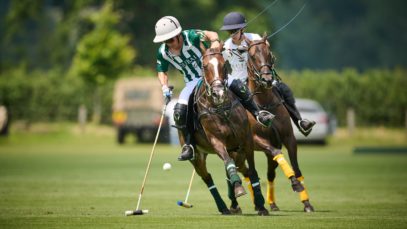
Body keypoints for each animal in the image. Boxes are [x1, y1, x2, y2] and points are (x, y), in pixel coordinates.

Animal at [180, 46, 270, 215]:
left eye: (223, 65)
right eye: (204, 66)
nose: (219, 93)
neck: (221, 108)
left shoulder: (247, 140)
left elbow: (253, 171)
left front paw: (261, 205)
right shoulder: (217, 141)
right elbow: (229, 164)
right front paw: (239, 188)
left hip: (237, 151)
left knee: (243, 169)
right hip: (197, 156)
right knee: (208, 178)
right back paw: (223, 206)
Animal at [242, 35, 316, 213]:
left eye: (270, 54)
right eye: (252, 56)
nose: (267, 80)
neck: (264, 102)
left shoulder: (288, 138)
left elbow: (296, 168)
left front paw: (306, 202)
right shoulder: (256, 140)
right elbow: (277, 153)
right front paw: (295, 184)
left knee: (270, 173)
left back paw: (272, 203)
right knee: (247, 173)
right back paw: (257, 203)